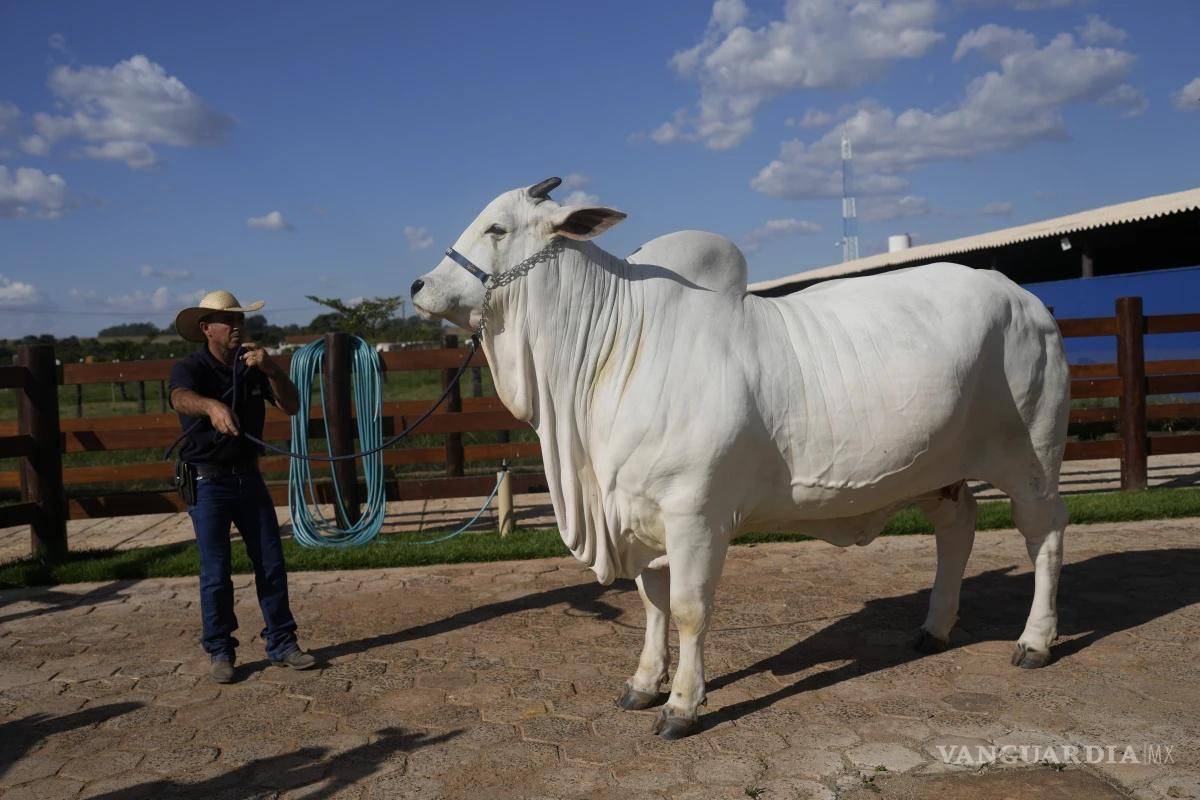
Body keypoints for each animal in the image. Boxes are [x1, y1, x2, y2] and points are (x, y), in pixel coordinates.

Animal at [411, 177, 1070, 739]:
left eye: (497, 228)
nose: (418, 287)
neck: (614, 348)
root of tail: (1028, 300)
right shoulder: (642, 514)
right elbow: (652, 604)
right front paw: (644, 683)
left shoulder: (695, 515)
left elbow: (688, 610)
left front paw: (682, 705)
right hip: (943, 471)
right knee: (958, 529)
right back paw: (934, 627)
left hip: (1031, 460)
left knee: (1044, 536)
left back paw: (1035, 641)